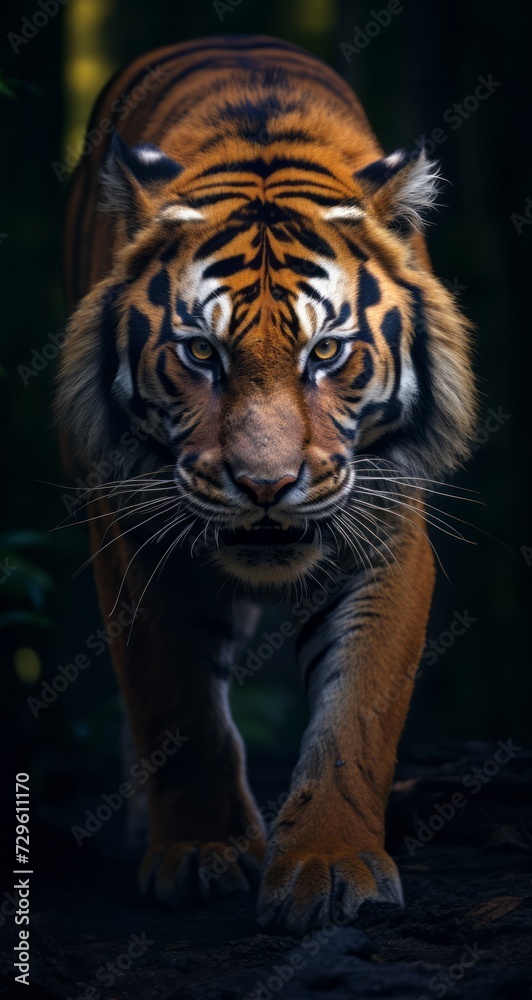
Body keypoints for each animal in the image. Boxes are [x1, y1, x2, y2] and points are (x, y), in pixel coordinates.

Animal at [56, 35, 476, 934]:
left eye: (327, 353)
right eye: (200, 353)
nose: (265, 484)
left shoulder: (386, 528)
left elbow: (357, 711)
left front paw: (328, 866)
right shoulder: (132, 531)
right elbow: (176, 702)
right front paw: (199, 853)